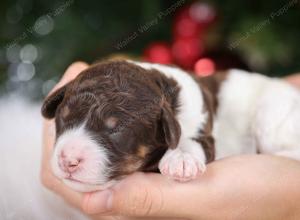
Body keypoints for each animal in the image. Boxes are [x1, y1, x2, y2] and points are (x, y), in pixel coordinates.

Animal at [41, 59, 300, 192]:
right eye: (63, 117)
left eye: (116, 129)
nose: (68, 160)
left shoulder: (203, 129)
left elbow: (189, 140)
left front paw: (181, 160)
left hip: (272, 113)